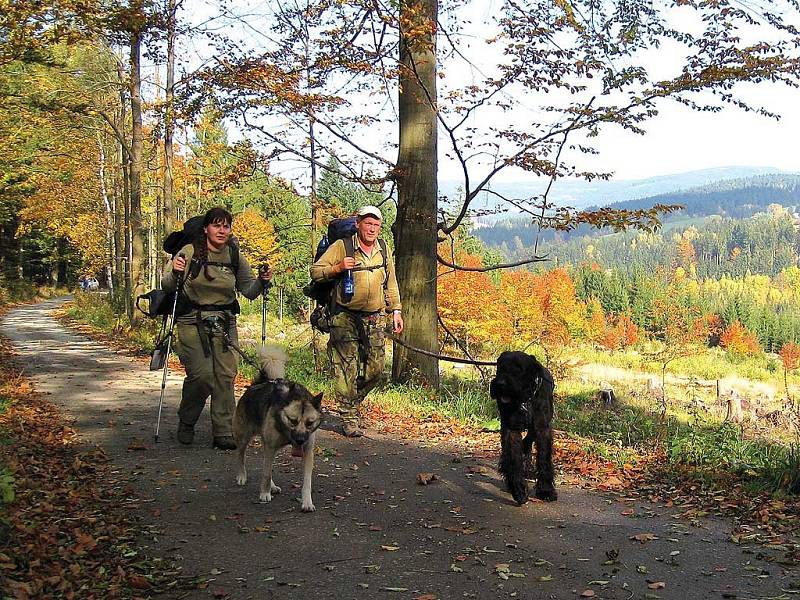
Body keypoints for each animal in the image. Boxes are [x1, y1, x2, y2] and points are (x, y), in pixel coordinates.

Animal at [234, 344, 324, 512]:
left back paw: (273, 486)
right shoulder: (270, 447)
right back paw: (242, 475)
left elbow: (307, 482)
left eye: (310, 423)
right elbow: (266, 474)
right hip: (243, 437)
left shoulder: (307, 452)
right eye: (293, 421)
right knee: (241, 456)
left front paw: (307, 502)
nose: (300, 440)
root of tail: (258, 383)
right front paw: (264, 493)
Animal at [488, 350, 556, 504]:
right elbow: (514, 458)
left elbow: (543, 458)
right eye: (500, 366)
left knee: (528, 441)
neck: (525, 399)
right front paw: (518, 489)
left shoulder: (542, 428)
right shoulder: (511, 428)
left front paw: (546, 490)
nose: (500, 384)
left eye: (519, 368)